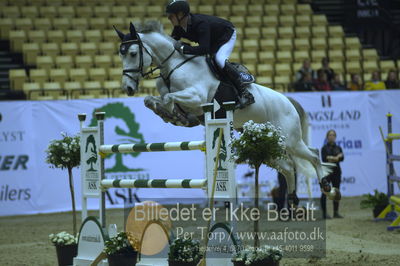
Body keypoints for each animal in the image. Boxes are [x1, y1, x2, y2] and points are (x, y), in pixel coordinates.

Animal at [113, 21, 340, 204]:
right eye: (120, 54)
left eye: (132, 53)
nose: (128, 88)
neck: (173, 65)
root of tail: (288, 100)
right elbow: (152, 100)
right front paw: (171, 115)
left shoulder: (197, 97)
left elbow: (169, 98)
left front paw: (173, 114)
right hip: (268, 144)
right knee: (287, 166)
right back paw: (292, 200)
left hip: (290, 140)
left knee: (313, 156)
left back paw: (327, 188)